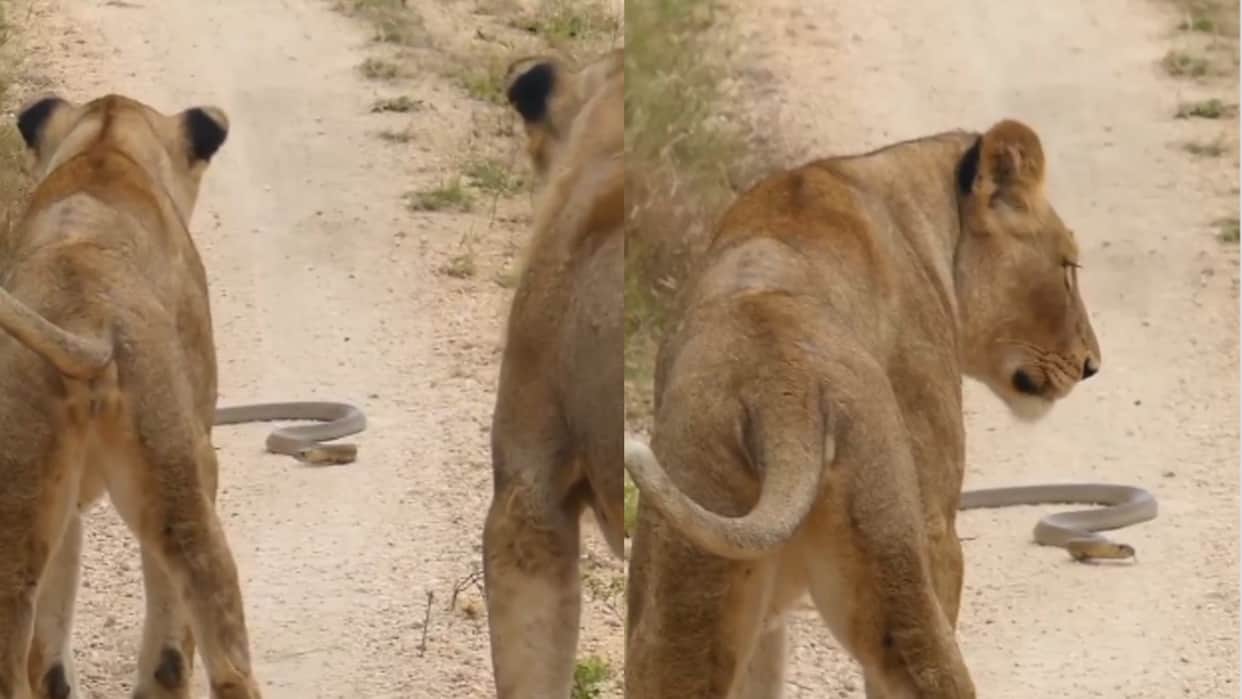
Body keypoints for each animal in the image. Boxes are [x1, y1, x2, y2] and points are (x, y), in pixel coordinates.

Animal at [624, 121, 1104, 698]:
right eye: (1068, 266)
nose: (1092, 364)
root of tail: (782, 384)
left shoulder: (762, 620)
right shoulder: (936, 517)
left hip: (684, 573)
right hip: (894, 539)